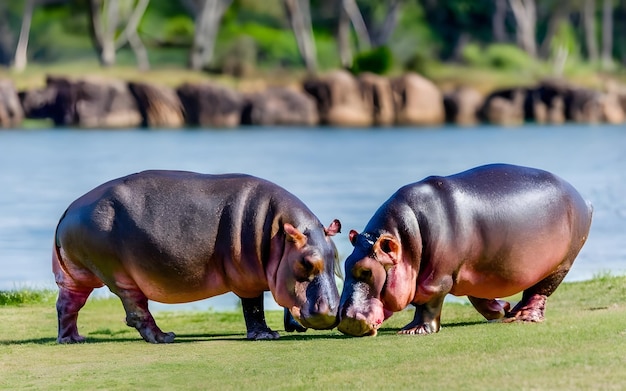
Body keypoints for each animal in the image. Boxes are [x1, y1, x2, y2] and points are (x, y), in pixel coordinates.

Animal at [53, 170, 342, 344]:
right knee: (136, 309)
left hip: (76, 275)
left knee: (67, 305)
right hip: (118, 274)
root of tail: (69, 210)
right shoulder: (247, 278)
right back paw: (165, 337)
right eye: (306, 263)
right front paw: (267, 335)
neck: (277, 234)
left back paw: (73, 339)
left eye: (336, 260)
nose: (333, 313)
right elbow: (253, 305)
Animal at [336, 164, 588, 338]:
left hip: (560, 264)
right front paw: (500, 309)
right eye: (346, 263)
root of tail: (582, 200)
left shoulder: (435, 277)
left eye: (367, 271)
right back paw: (504, 312)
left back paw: (521, 317)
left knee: (539, 291)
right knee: (484, 294)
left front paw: (413, 330)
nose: (346, 319)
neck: (403, 239)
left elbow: (427, 302)